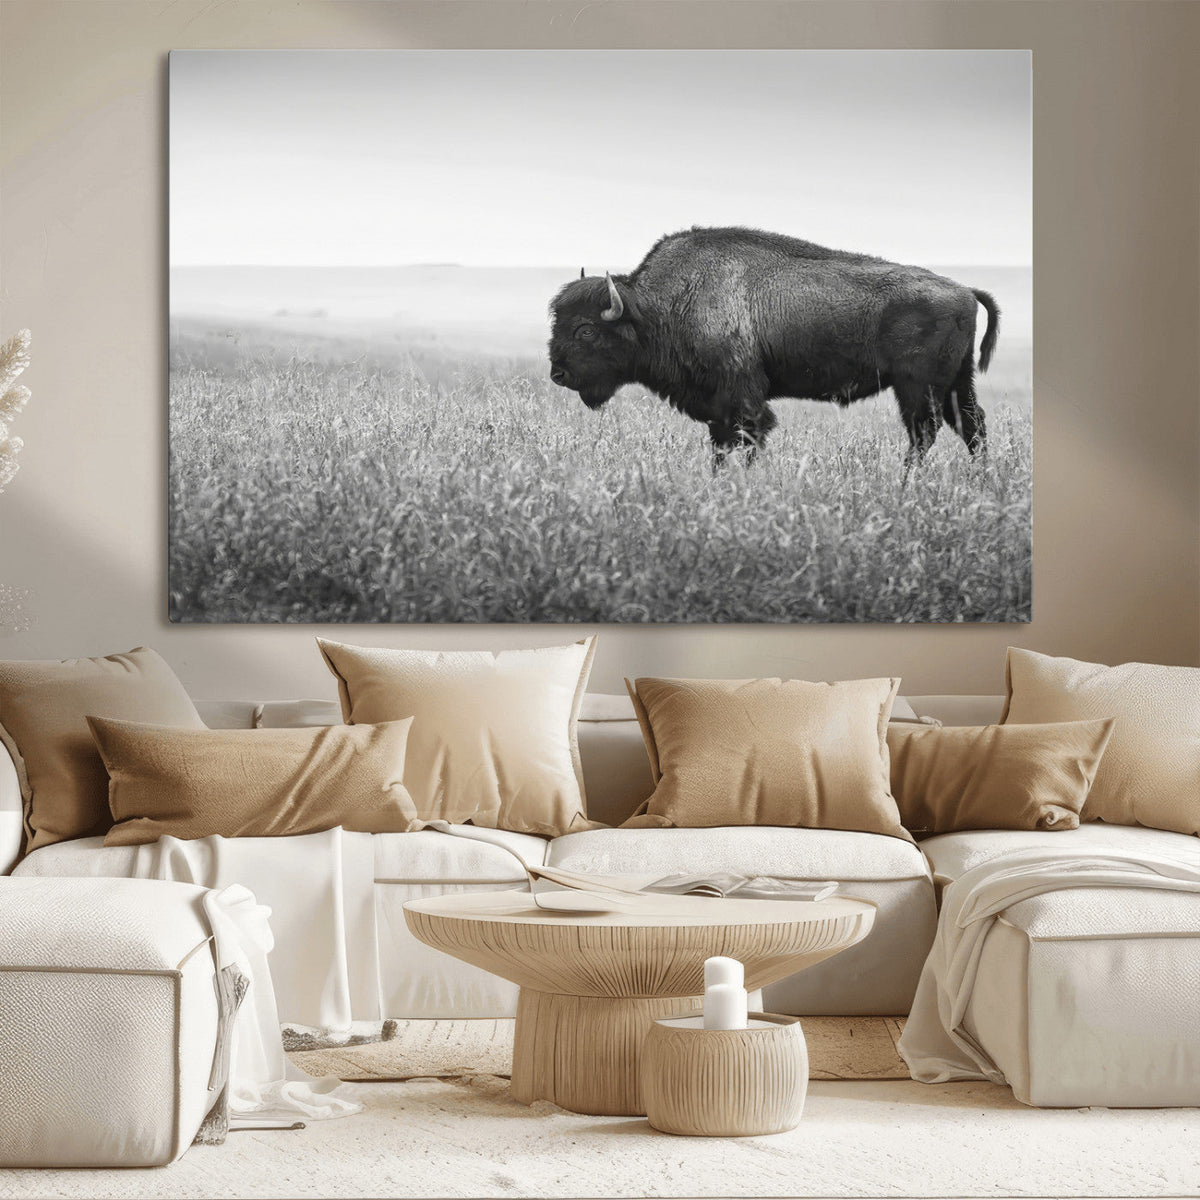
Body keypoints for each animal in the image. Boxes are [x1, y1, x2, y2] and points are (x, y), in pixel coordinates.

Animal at [548, 226, 999, 471]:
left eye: (585, 330)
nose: (558, 374)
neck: (659, 306)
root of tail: (964, 290)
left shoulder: (743, 398)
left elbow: (749, 438)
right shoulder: (717, 407)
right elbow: (721, 445)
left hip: (917, 387)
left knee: (925, 431)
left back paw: (905, 481)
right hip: (956, 382)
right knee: (971, 425)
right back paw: (979, 480)